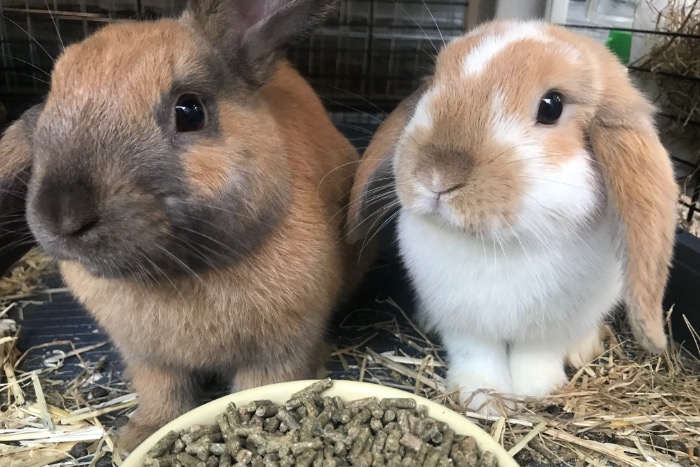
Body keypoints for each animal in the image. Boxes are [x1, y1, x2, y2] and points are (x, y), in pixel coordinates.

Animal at [0, 0, 372, 454]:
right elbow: (164, 394)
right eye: (53, 96)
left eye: (189, 111)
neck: (180, 272)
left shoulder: (278, 353)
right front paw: (139, 437)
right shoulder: (149, 360)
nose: (64, 218)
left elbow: (256, 389)